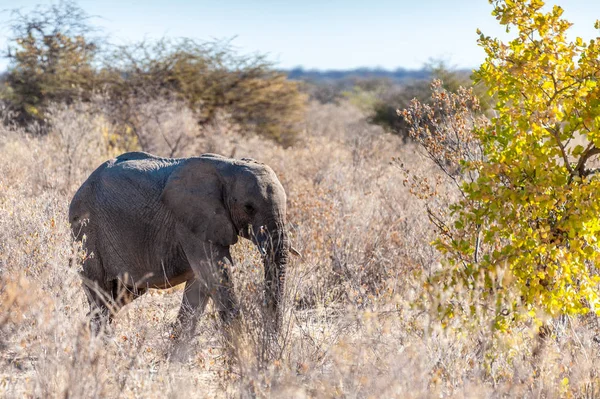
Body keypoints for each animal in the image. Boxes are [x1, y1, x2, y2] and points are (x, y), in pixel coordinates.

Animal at [69, 152, 290, 338]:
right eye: (248, 207)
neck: (228, 166)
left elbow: (199, 286)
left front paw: (173, 358)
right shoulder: (191, 223)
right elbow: (216, 274)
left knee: (117, 299)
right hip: (86, 233)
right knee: (101, 296)